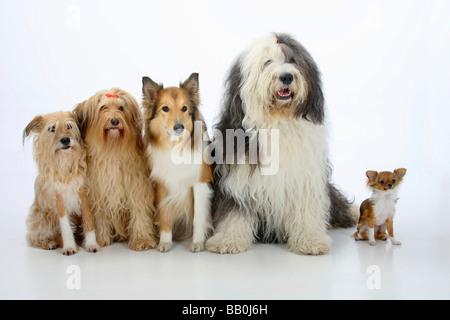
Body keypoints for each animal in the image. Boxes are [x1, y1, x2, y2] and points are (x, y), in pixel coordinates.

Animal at [23, 111, 99, 256]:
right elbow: (66, 227)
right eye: (52, 128)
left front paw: (91, 244)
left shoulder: (83, 194)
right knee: (34, 238)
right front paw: (69, 247)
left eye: (69, 126)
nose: (65, 140)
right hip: (42, 217)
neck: (65, 164)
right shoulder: (58, 198)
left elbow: (89, 222)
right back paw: (49, 243)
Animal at [75, 88, 156, 250]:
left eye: (121, 108)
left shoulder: (138, 189)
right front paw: (101, 239)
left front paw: (142, 240)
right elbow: (100, 217)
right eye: (103, 108)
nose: (114, 121)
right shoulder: (98, 193)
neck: (113, 151)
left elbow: (140, 213)